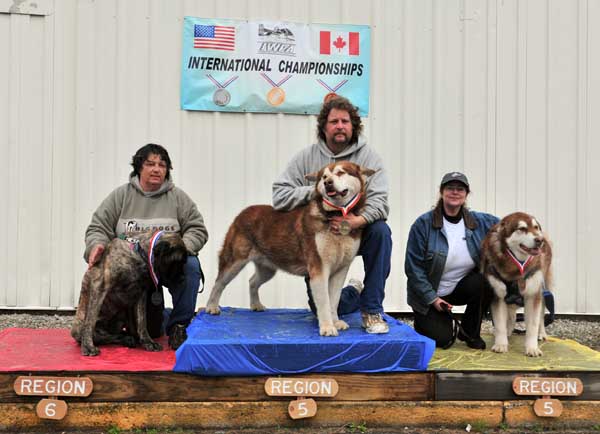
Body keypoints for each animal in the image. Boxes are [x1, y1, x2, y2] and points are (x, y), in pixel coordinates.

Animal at [206, 162, 376, 336]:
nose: (327, 183)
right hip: (235, 261)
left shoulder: (341, 270)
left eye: (340, 173)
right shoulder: (319, 269)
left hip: (268, 268)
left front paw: (335, 322)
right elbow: (324, 302)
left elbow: (334, 300)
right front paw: (328, 327)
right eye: (324, 176)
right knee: (219, 282)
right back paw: (211, 307)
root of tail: (243, 212)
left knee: (252, 281)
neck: (336, 214)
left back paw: (256, 305)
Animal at [482, 212, 552, 358]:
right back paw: (509, 331)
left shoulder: (533, 295)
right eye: (522, 228)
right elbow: (500, 324)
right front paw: (501, 344)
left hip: (542, 290)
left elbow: (532, 325)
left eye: (536, 227)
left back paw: (542, 334)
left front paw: (532, 348)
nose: (540, 240)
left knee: (541, 315)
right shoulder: (498, 296)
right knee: (512, 315)